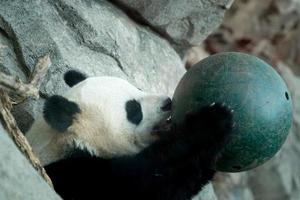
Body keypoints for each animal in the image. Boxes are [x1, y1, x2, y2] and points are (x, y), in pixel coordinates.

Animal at [25, 70, 233, 200]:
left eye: (138, 88)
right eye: (134, 110)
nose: (167, 103)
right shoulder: (84, 179)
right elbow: (149, 183)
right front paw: (212, 120)